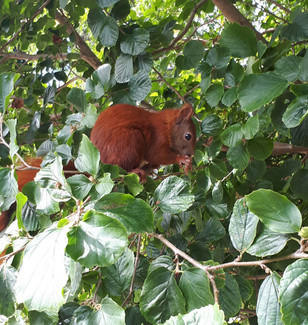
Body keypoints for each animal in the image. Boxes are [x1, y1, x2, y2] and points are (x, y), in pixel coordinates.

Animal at [0, 102, 196, 232]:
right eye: (188, 136)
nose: (192, 154)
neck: (167, 126)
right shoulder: (157, 137)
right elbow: (158, 154)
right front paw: (181, 159)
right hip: (130, 140)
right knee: (123, 166)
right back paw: (136, 171)